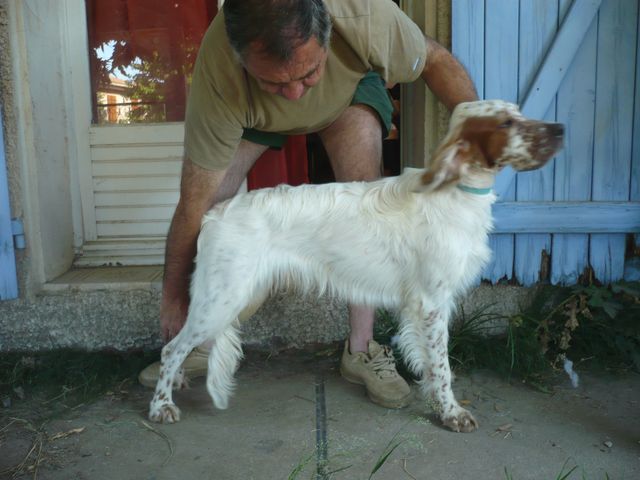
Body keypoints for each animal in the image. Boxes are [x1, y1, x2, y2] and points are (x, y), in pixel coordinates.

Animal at [148, 99, 564, 434]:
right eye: (506, 123)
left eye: (520, 113)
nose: (559, 129)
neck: (453, 190)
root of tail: (215, 213)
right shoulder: (431, 303)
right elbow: (442, 367)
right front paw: (451, 413)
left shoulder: (421, 306)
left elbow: (431, 365)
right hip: (222, 299)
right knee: (171, 348)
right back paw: (160, 406)